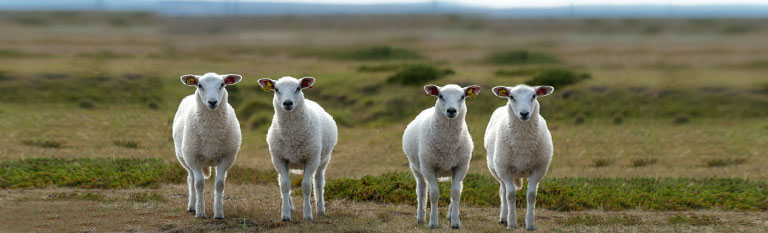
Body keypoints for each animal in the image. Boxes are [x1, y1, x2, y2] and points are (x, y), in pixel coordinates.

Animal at [173, 72, 243, 218]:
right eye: (200, 85)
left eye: (222, 84)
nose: (212, 102)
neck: (211, 130)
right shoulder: (193, 158)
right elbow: (199, 184)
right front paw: (200, 212)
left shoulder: (227, 158)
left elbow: (219, 185)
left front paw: (218, 213)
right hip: (184, 158)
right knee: (191, 179)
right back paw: (192, 206)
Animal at [258, 76, 336, 222]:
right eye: (276, 89)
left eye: (298, 88)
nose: (287, 103)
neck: (292, 136)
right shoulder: (279, 159)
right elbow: (284, 185)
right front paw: (285, 214)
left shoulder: (311, 159)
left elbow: (306, 186)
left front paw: (308, 214)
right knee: (281, 181)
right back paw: (290, 206)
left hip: (323, 159)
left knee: (318, 182)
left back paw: (320, 209)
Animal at [402, 84, 480, 229]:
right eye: (440, 96)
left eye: (462, 96)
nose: (451, 110)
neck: (448, 144)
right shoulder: (429, 166)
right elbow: (434, 194)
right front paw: (433, 222)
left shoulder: (461, 166)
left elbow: (455, 193)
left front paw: (455, 222)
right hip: (416, 168)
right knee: (421, 189)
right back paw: (420, 218)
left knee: (459, 187)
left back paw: (450, 214)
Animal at [484, 84, 556, 231]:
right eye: (512, 97)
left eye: (534, 96)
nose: (524, 113)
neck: (523, 141)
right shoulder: (505, 169)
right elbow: (510, 195)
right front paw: (511, 222)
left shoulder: (538, 169)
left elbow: (531, 195)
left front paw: (530, 224)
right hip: (497, 169)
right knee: (503, 190)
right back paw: (503, 217)